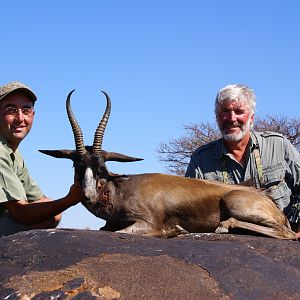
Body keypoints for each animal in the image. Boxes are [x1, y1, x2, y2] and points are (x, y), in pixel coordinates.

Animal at [39, 90, 298, 240]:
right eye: (76, 165)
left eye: (102, 167)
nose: (88, 194)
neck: (121, 190)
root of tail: (268, 202)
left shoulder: (146, 224)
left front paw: (174, 230)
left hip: (235, 204)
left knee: (287, 234)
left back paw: (223, 227)